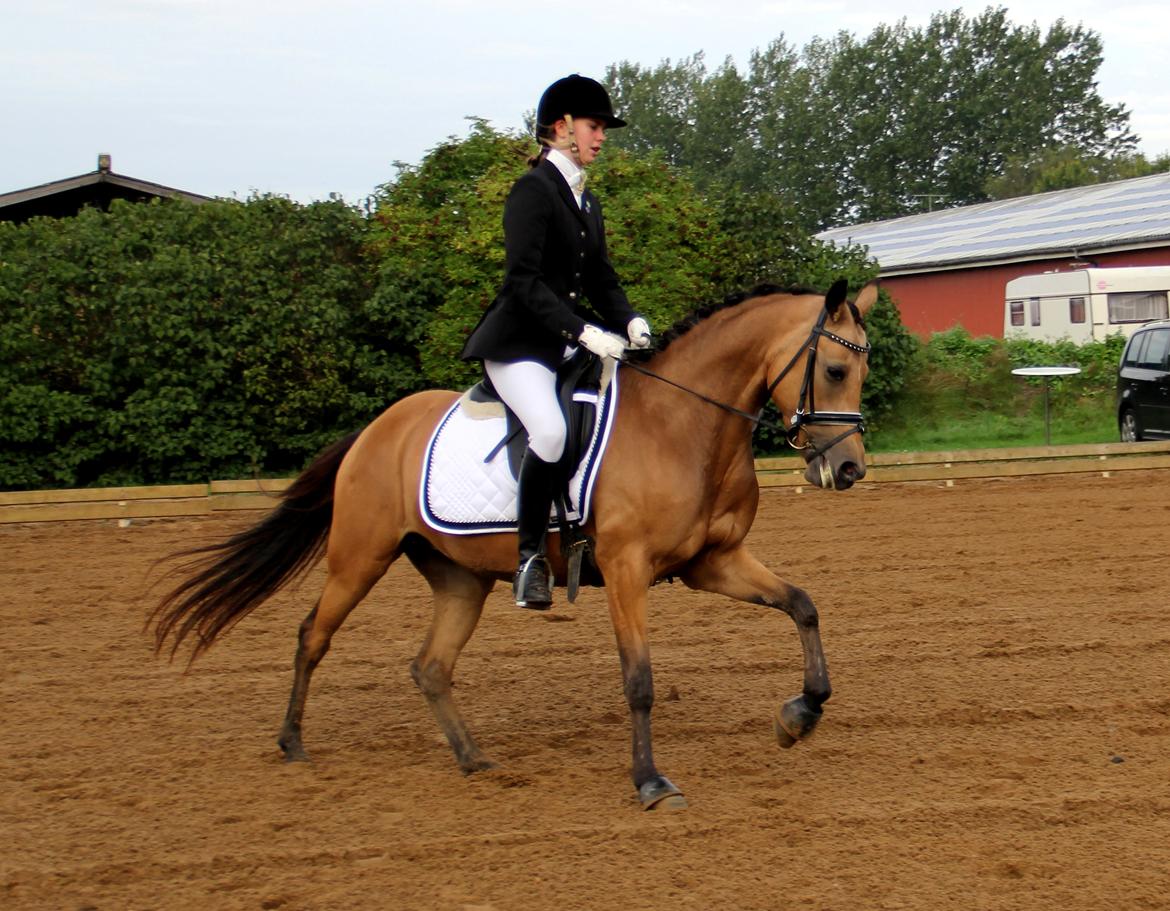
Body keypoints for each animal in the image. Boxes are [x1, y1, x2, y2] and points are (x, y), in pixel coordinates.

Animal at [152, 278, 878, 810]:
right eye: (835, 368)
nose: (848, 471)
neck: (683, 424)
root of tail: (374, 429)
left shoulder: (712, 562)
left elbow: (803, 604)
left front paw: (800, 714)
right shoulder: (625, 568)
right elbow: (639, 679)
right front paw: (650, 781)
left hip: (460, 577)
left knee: (430, 665)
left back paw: (474, 759)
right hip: (359, 558)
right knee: (312, 636)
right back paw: (293, 743)